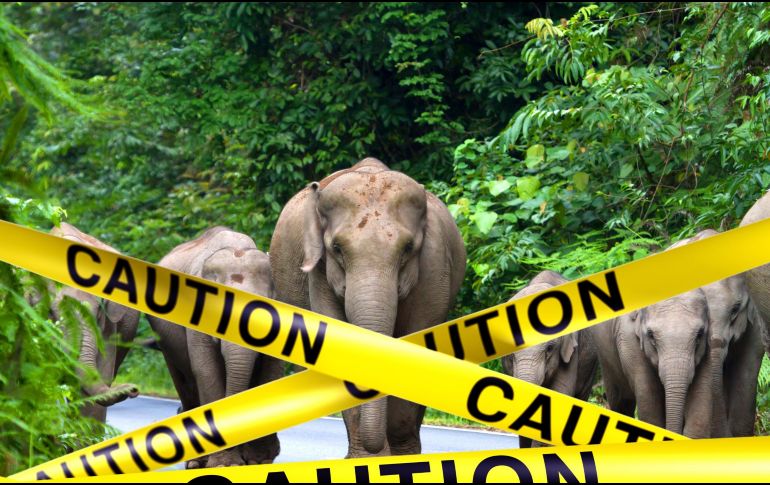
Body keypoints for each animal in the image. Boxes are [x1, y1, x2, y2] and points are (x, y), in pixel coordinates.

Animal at [147, 226, 282, 468]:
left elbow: (271, 371)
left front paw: (259, 460)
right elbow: (206, 370)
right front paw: (225, 465)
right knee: (184, 382)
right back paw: (195, 462)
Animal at [269, 157, 466, 458]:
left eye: (408, 248)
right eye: (337, 248)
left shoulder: (434, 267)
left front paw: (401, 456)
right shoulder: (319, 274)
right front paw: (367, 458)